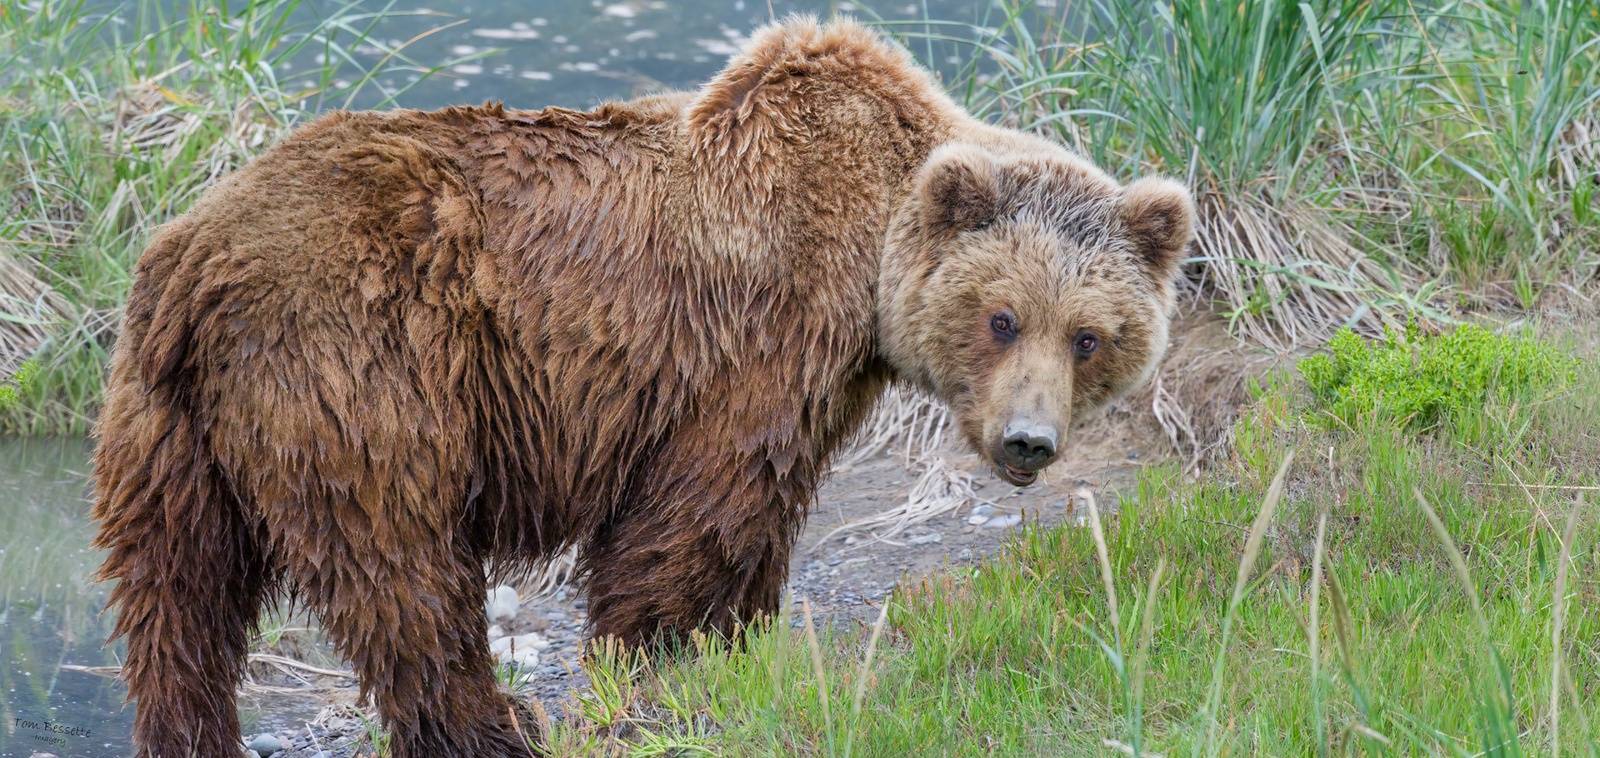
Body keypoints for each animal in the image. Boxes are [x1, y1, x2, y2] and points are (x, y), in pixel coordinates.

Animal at [90, 17, 1193, 757]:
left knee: (177, 599)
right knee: (398, 563)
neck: (869, 250)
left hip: (169, 424)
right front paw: (657, 654)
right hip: (358, 369)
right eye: (1001, 316)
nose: (1026, 442)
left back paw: (189, 729)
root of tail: (196, 253)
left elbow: (760, 516)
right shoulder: (755, 339)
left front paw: (744, 639)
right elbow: (696, 512)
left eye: (1090, 335)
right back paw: (495, 721)